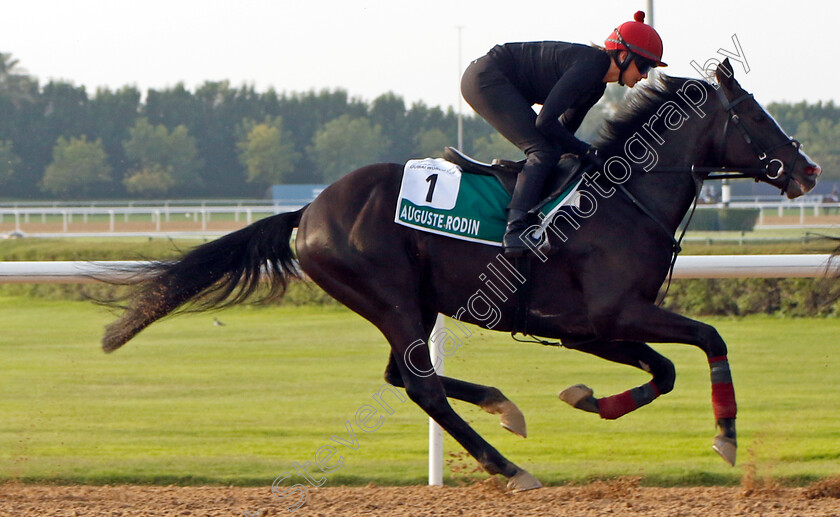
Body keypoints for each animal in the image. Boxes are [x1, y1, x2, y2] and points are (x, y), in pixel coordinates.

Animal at [100, 58, 820, 490]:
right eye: (754, 114)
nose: (808, 170)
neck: (623, 200)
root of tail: (309, 211)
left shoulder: (592, 329)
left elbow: (665, 369)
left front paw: (586, 399)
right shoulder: (611, 315)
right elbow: (709, 339)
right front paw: (726, 438)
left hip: (413, 302)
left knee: (403, 375)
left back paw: (505, 408)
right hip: (388, 294)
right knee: (419, 385)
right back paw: (509, 466)